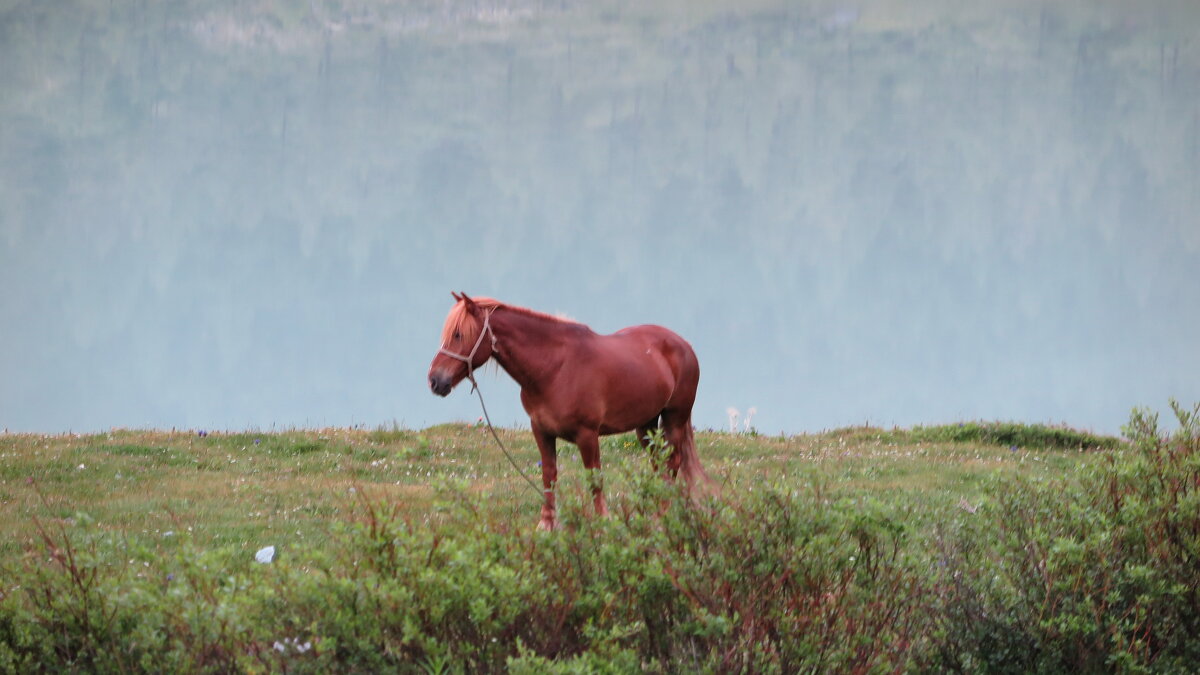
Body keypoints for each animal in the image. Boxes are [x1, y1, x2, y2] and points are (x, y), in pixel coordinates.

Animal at [429, 291, 705, 528]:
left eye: (458, 334)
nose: (435, 380)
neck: (554, 369)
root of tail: (684, 345)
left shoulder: (587, 434)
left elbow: (594, 479)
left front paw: (603, 521)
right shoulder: (541, 430)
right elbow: (549, 475)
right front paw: (547, 524)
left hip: (674, 418)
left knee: (672, 461)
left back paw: (661, 514)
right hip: (645, 424)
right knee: (658, 463)